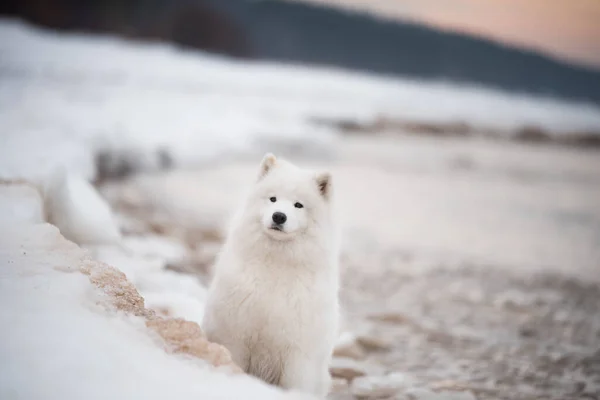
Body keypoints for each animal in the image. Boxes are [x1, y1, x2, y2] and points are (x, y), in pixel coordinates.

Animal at [202, 154, 340, 396]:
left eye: (298, 205)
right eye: (273, 199)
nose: (279, 216)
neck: (277, 265)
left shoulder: (297, 355)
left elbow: (295, 385)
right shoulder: (235, 338)